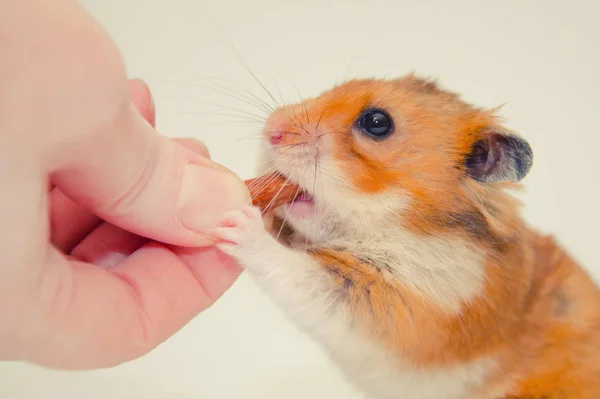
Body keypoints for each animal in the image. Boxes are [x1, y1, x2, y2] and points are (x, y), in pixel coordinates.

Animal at [220, 76, 600, 399]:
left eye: (377, 122)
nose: (271, 130)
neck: (400, 225)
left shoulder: (401, 301)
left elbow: (299, 273)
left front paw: (238, 220)